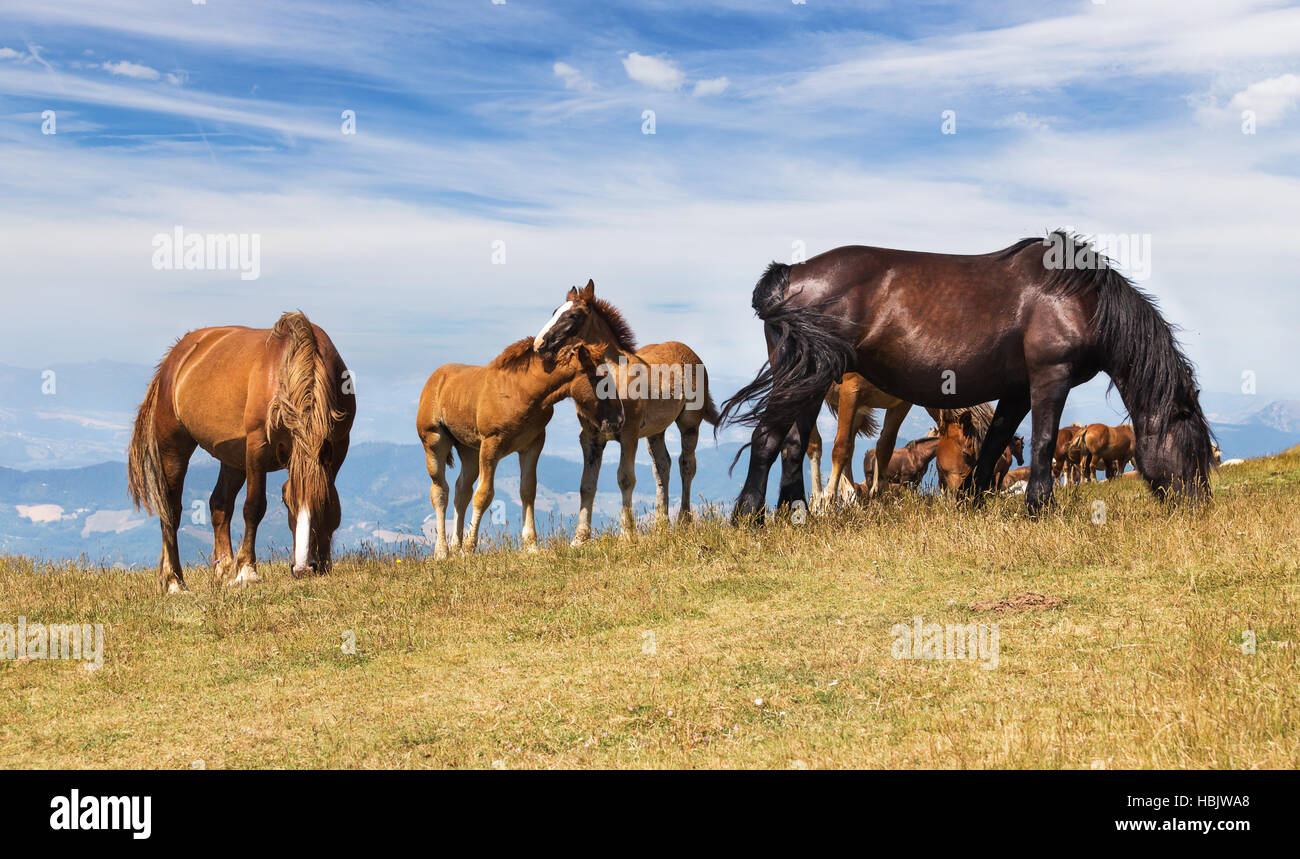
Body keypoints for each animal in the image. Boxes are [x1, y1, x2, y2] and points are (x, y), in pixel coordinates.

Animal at [128, 311, 355, 593]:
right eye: (286, 502)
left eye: (320, 502)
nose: (303, 568)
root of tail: (176, 355)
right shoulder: (257, 446)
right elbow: (254, 506)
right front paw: (247, 571)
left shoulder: (338, 445)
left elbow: (332, 498)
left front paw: (324, 563)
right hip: (174, 447)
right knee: (171, 511)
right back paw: (175, 582)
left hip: (233, 458)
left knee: (219, 505)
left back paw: (223, 569)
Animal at [417, 335, 623, 560]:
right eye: (601, 380)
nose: (619, 419)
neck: (522, 391)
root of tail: (435, 378)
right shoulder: (491, 444)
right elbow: (484, 494)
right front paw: (470, 548)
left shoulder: (533, 443)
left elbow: (527, 489)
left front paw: (531, 545)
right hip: (434, 442)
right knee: (440, 492)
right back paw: (442, 551)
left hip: (469, 450)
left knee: (461, 490)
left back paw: (455, 547)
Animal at [531, 281, 719, 544]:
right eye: (555, 311)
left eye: (574, 315)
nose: (539, 345)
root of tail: (689, 351)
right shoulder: (590, 438)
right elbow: (586, 484)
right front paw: (579, 539)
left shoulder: (628, 435)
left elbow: (625, 478)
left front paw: (628, 535)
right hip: (656, 431)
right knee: (662, 466)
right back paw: (661, 525)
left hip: (689, 422)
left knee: (687, 464)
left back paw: (684, 521)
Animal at [805, 371, 943, 508]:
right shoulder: (849, 390)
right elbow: (841, 448)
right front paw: (826, 501)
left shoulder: (901, 402)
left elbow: (885, 446)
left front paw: (881, 497)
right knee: (816, 445)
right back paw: (818, 502)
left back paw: (851, 501)